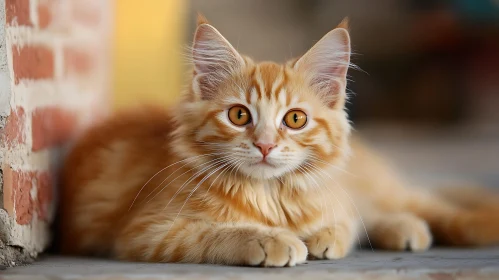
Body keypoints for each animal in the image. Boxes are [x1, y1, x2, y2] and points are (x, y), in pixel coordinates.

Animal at [59, 16, 499, 266]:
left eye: (295, 119)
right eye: (239, 115)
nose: (266, 145)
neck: (272, 194)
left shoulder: (333, 197)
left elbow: (342, 220)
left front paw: (321, 235)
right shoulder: (147, 231)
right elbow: (214, 232)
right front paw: (271, 239)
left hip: (380, 187)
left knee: (427, 205)